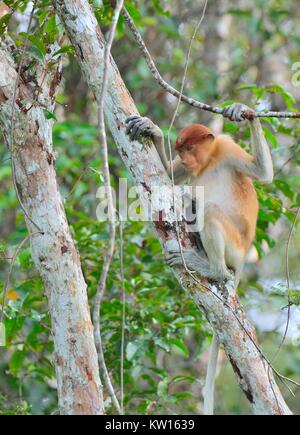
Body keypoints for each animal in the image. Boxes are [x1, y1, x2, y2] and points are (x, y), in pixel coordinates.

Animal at [125, 102, 274, 416]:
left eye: (190, 148)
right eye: (180, 149)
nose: (185, 158)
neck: (211, 159)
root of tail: (244, 257)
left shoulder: (228, 148)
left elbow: (262, 172)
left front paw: (242, 110)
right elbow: (169, 176)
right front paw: (150, 128)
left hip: (234, 246)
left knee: (209, 209)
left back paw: (212, 268)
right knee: (189, 197)